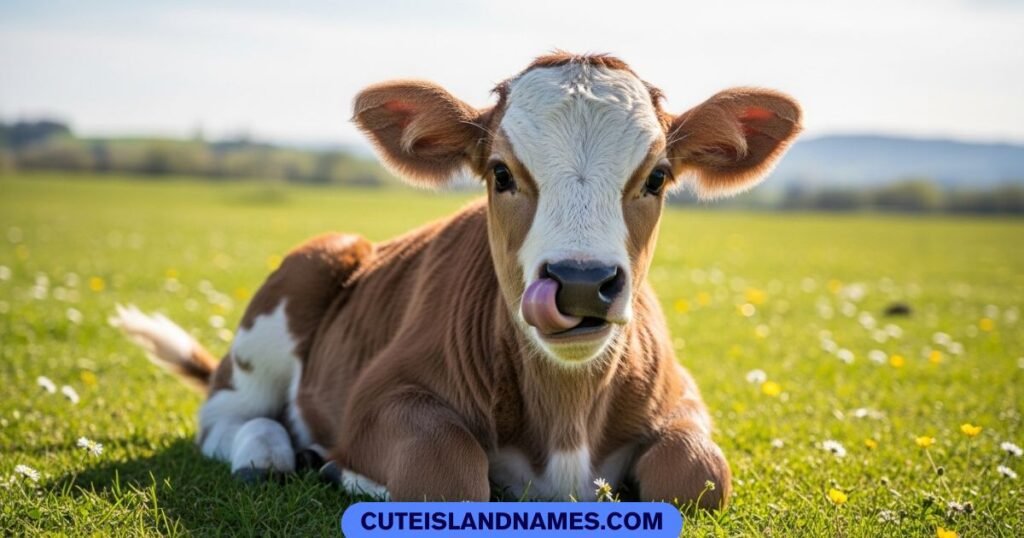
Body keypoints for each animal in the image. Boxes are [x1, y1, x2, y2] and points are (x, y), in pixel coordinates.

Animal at [111, 52, 801, 508]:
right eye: (500, 173)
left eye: (657, 176)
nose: (580, 281)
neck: (566, 416)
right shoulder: (380, 396)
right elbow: (444, 469)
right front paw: (348, 472)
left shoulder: (683, 401)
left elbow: (699, 474)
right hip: (300, 281)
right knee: (228, 418)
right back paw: (272, 453)